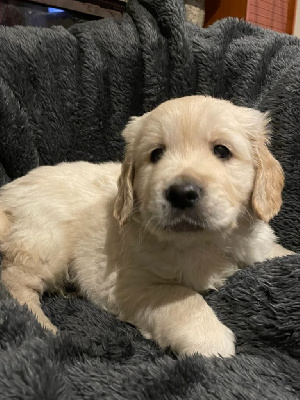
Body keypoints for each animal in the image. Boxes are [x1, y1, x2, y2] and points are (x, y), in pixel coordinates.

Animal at [0, 96, 292, 356]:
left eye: (222, 151)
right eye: (156, 154)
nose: (181, 193)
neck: (203, 242)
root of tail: (7, 192)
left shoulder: (254, 246)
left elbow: (274, 253)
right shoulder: (129, 284)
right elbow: (181, 297)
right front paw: (208, 339)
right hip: (45, 241)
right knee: (15, 283)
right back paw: (43, 329)